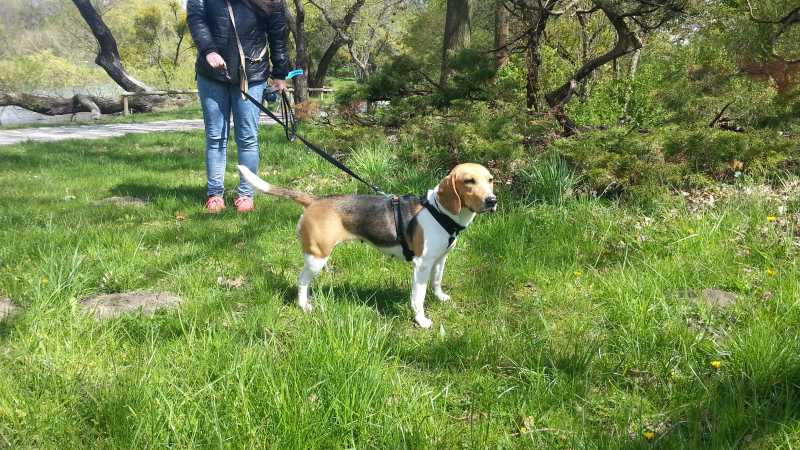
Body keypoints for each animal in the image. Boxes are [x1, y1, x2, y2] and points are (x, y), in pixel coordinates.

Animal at [238, 163, 497, 328]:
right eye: (468, 181)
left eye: (490, 180)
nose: (492, 200)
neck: (439, 210)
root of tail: (315, 200)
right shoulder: (422, 265)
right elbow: (418, 297)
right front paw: (421, 320)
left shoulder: (440, 258)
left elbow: (437, 281)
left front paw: (440, 297)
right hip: (317, 257)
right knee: (301, 281)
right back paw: (304, 305)